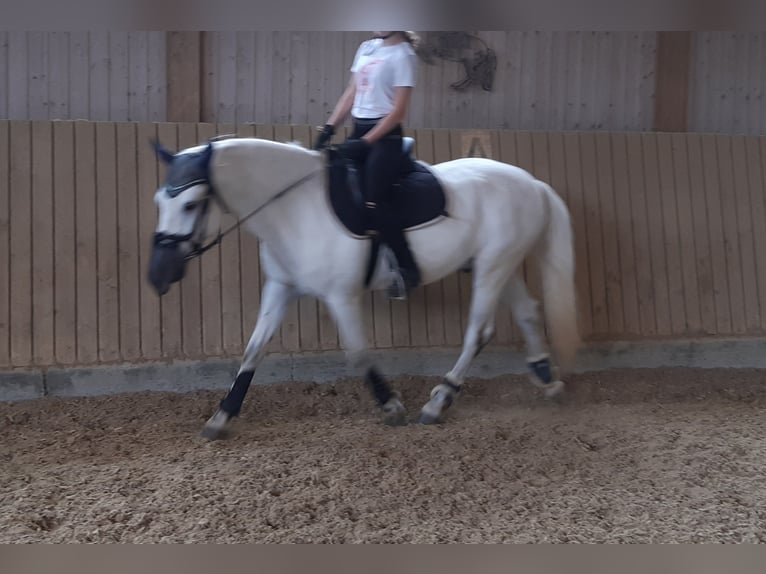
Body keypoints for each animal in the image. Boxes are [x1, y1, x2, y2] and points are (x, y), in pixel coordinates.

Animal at [146, 133, 580, 440]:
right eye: (159, 201)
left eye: (190, 204)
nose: (158, 276)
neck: (295, 208)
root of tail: (532, 183)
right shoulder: (281, 287)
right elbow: (253, 350)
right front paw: (221, 417)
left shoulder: (340, 295)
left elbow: (357, 352)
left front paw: (391, 406)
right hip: (500, 265)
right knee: (527, 312)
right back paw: (549, 381)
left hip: (493, 266)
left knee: (480, 331)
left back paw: (439, 402)